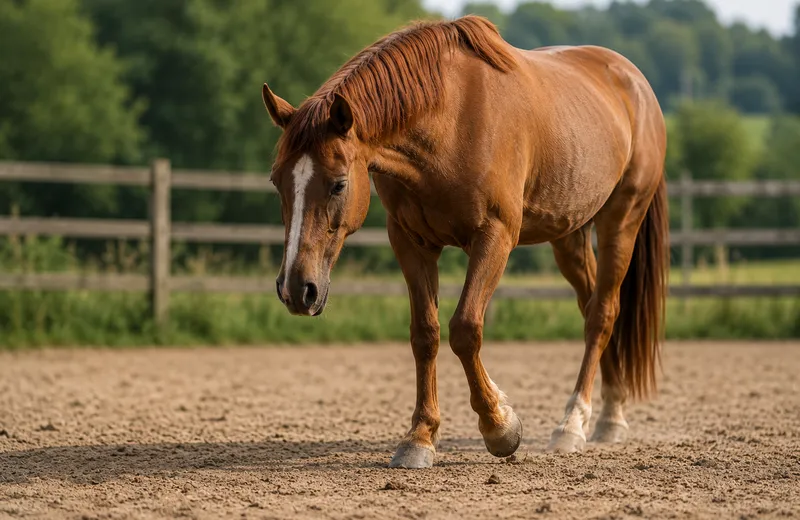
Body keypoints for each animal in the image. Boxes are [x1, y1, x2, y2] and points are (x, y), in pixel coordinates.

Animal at [261, 15, 668, 468]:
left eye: (338, 184)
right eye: (277, 181)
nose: (297, 289)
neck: (450, 120)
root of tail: (633, 81)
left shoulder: (494, 236)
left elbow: (465, 329)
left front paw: (500, 426)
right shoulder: (410, 243)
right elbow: (425, 334)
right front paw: (419, 438)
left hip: (621, 219)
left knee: (602, 314)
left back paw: (574, 423)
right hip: (569, 235)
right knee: (593, 304)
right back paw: (609, 414)